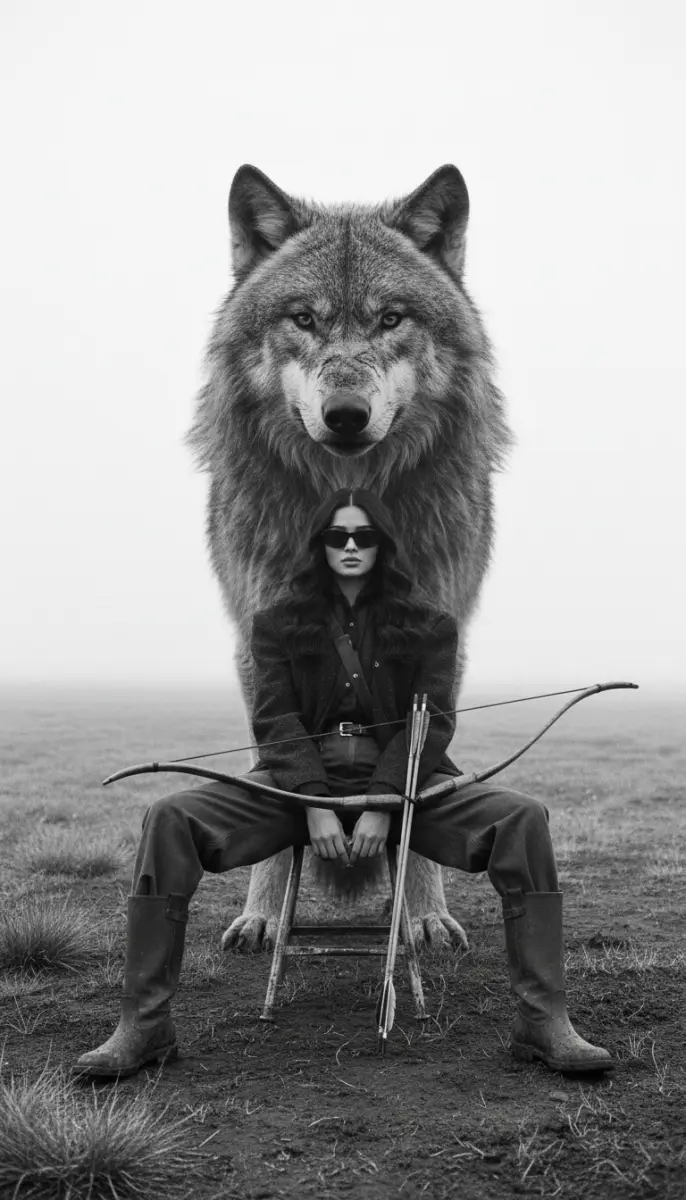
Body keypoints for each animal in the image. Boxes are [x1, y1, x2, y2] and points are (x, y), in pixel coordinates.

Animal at [187, 163, 511, 952]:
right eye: (303, 319)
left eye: (391, 319)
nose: (345, 416)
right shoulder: (258, 644)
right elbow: (279, 773)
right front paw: (264, 916)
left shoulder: (441, 647)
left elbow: (415, 778)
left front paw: (422, 916)